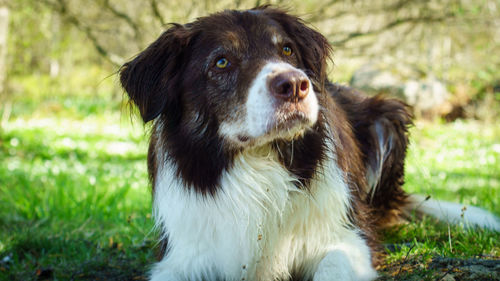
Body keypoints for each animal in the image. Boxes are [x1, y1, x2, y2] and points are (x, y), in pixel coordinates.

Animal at [120, 6, 500, 280]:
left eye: (287, 49)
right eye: (221, 62)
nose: (295, 85)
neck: (258, 161)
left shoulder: (344, 238)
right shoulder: (183, 256)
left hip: (387, 119)